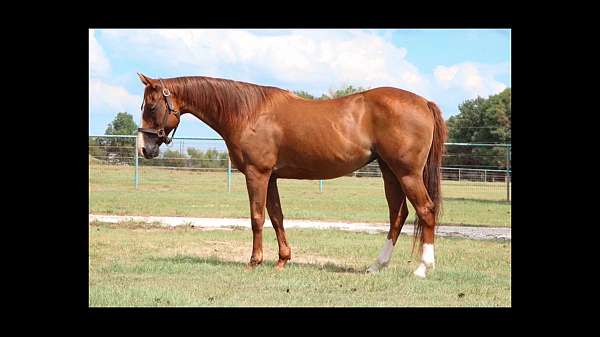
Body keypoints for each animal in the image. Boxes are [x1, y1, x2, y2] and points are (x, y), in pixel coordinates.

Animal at [136, 73, 446, 276]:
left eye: (151, 106)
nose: (144, 148)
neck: (249, 113)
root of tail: (424, 102)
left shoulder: (257, 174)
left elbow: (257, 218)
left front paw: (254, 261)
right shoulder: (271, 177)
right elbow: (276, 217)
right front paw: (282, 260)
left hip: (407, 173)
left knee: (426, 210)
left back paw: (423, 268)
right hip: (389, 172)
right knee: (398, 215)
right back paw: (376, 266)